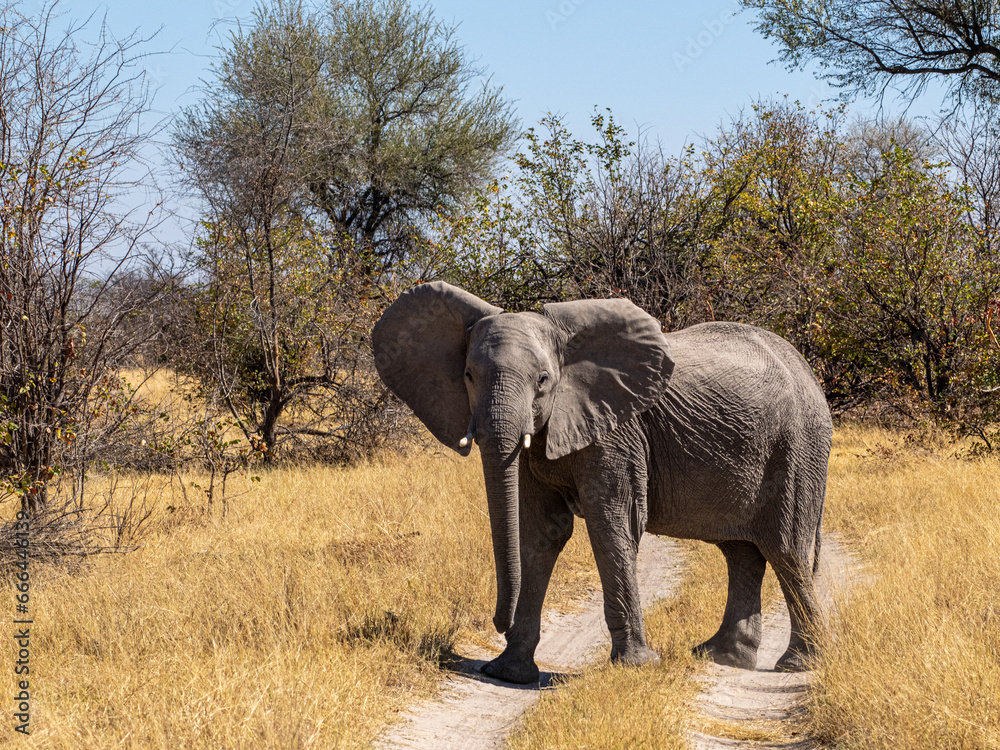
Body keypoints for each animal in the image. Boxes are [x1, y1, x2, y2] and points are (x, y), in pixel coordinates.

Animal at [372, 281, 832, 684]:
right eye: (467, 375)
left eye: (543, 380)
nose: (497, 623)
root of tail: (810, 374)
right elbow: (542, 532)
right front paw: (508, 672)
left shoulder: (616, 431)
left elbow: (612, 521)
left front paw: (635, 667)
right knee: (741, 552)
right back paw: (721, 656)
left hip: (797, 447)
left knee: (786, 549)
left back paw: (798, 664)